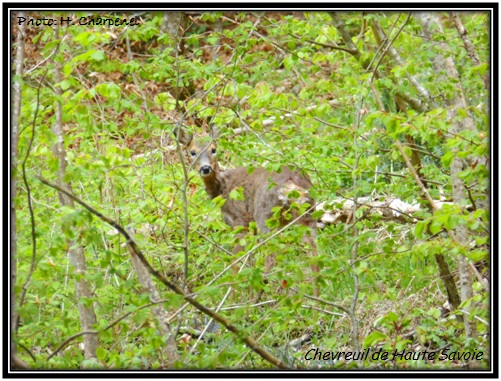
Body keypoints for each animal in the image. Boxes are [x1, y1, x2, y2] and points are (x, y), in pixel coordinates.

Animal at [178, 127, 318, 294]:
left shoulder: (240, 220)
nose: (205, 168)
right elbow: (250, 260)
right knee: (314, 254)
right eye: (192, 152)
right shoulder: (251, 226)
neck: (222, 188)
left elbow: (236, 261)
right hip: (308, 215)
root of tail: (292, 185)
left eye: (213, 149)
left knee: (271, 257)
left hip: (265, 216)